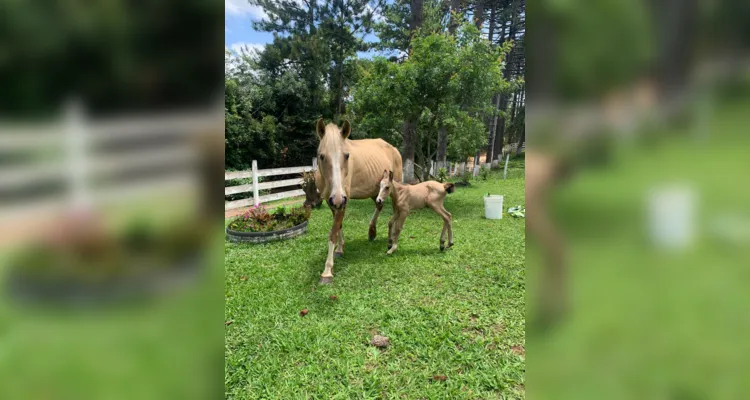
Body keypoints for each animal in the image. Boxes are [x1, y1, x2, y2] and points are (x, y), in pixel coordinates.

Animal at [312, 119, 402, 284]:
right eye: (321, 156)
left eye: (347, 155)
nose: (338, 197)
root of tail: (394, 149)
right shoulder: (332, 202)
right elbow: (338, 226)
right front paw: (339, 249)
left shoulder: (343, 201)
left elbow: (333, 232)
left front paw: (327, 272)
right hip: (375, 191)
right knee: (379, 205)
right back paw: (372, 231)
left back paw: (391, 241)